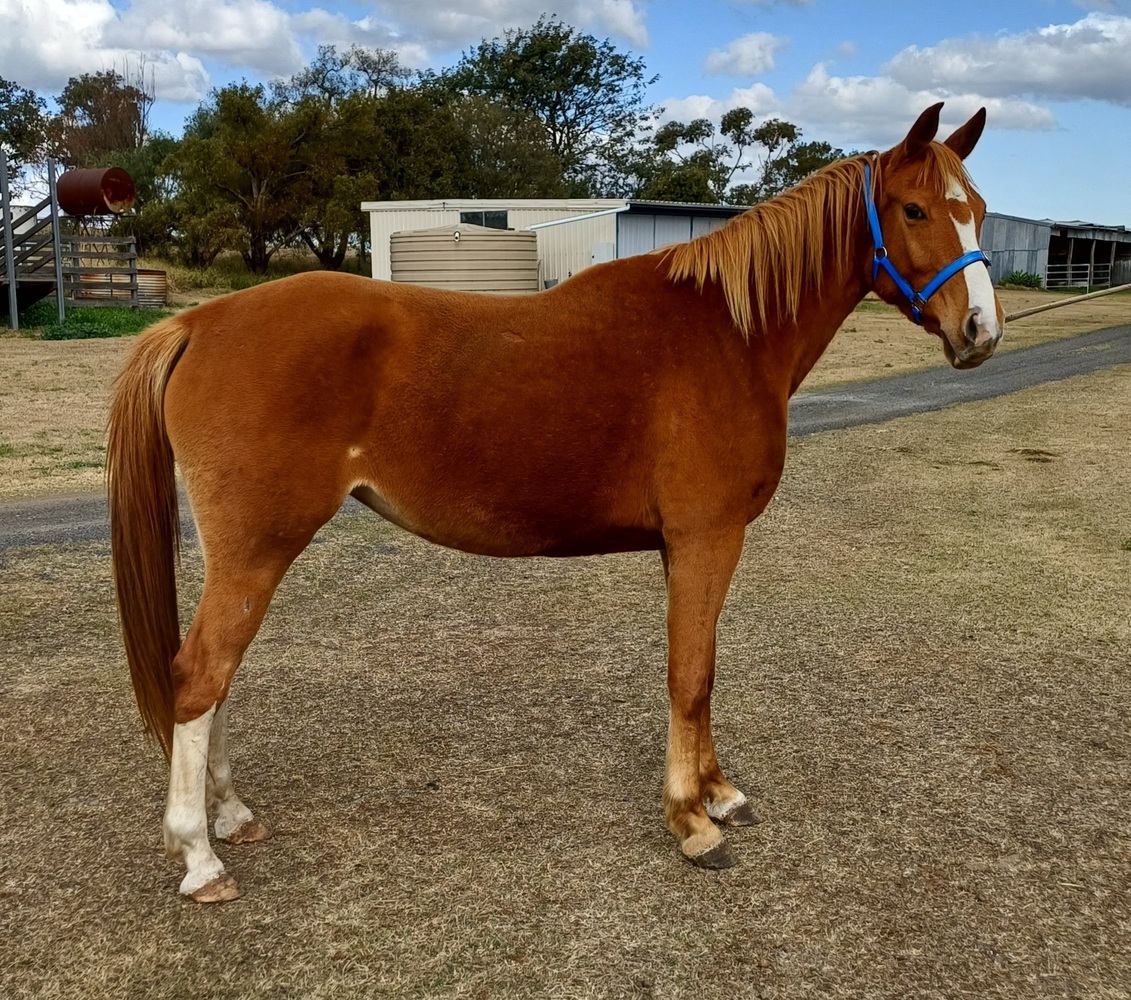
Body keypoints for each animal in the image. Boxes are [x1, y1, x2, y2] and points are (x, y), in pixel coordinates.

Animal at [107, 102, 1003, 902]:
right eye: (916, 209)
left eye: (980, 210)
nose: (980, 332)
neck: (729, 333)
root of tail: (200, 322)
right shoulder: (706, 538)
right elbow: (688, 675)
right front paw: (691, 821)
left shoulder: (692, 547)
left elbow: (704, 670)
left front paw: (717, 792)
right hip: (256, 549)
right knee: (199, 677)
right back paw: (199, 857)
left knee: (216, 679)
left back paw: (230, 816)